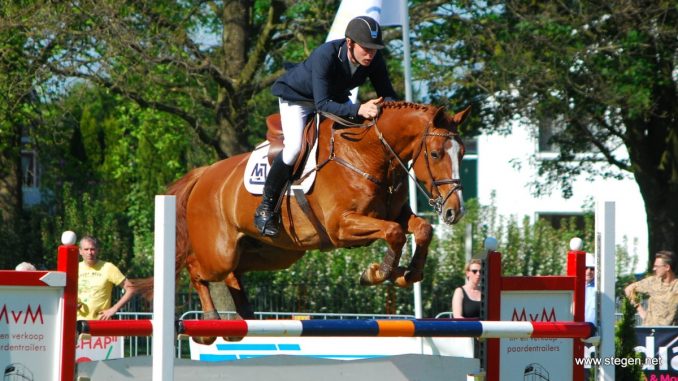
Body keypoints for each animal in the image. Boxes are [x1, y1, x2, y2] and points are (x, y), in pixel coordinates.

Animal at [139, 101, 468, 342]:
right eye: (435, 153)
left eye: (463, 154)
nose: (454, 211)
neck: (369, 155)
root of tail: (204, 173)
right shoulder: (342, 227)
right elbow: (396, 233)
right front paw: (378, 272)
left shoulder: (394, 214)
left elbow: (421, 228)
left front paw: (407, 274)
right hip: (220, 252)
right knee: (197, 269)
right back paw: (210, 324)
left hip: (273, 252)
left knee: (234, 274)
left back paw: (243, 319)